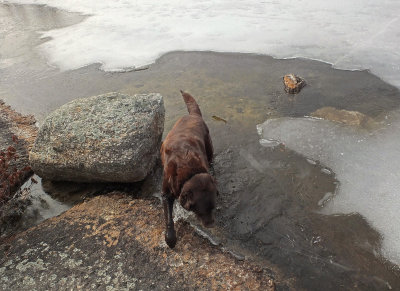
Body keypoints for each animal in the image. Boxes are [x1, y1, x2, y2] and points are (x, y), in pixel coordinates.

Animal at [159, 90, 217, 249]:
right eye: (200, 211)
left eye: (213, 207)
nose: (211, 225)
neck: (189, 171)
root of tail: (193, 115)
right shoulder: (166, 193)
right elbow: (168, 217)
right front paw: (170, 239)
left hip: (209, 145)